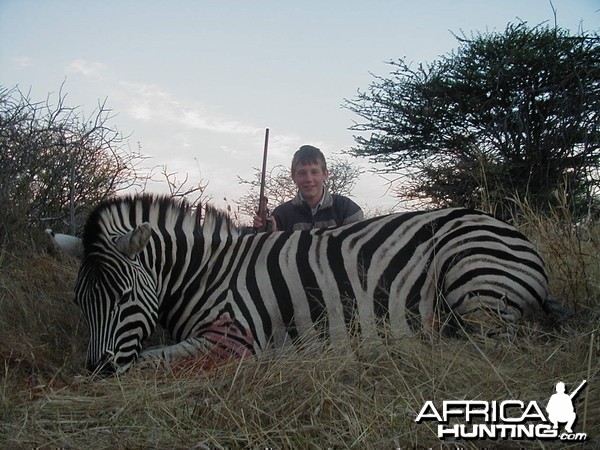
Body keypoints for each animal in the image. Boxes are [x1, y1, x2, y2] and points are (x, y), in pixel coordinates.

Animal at [67, 193, 548, 372]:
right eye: (79, 303)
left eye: (124, 297)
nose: (95, 370)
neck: (208, 273)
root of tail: (515, 233)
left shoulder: (234, 340)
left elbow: (148, 361)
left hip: (470, 280)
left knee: (486, 346)